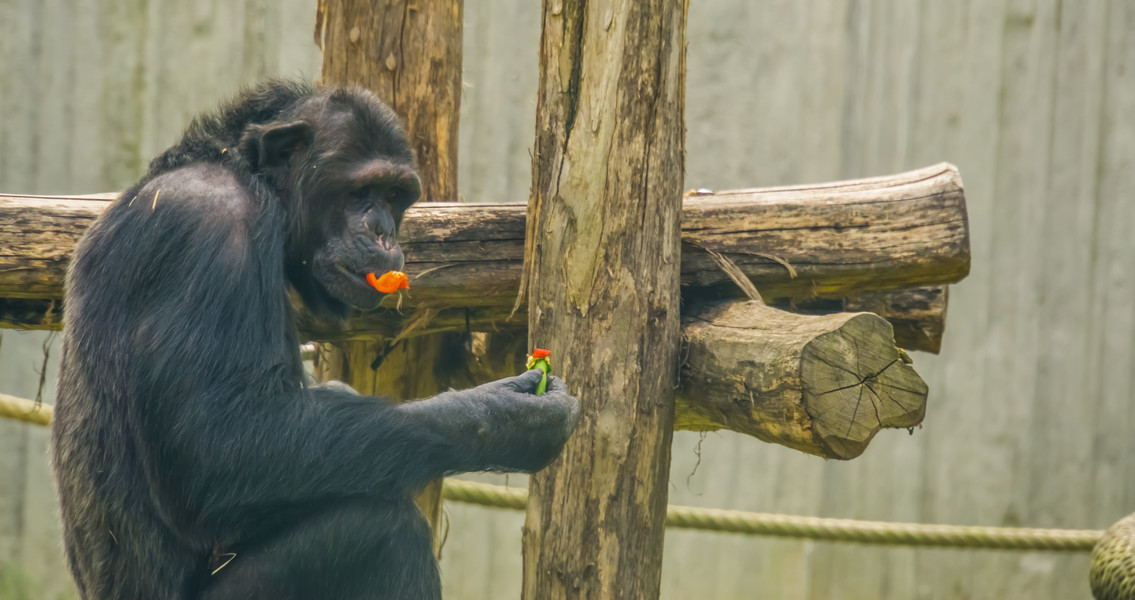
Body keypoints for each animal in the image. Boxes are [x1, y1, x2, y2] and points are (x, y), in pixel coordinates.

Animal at [49, 81, 581, 598]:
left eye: (395, 195)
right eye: (361, 191)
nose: (383, 231)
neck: (251, 180)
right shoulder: (207, 235)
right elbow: (212, 446)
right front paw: (511, 417)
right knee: (383, 532)